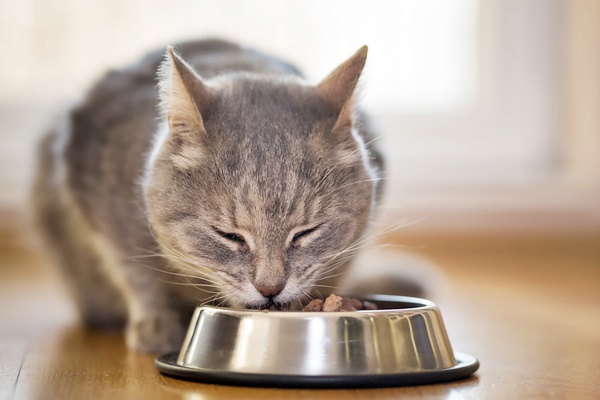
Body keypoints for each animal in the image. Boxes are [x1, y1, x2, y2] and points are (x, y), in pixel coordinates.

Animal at [31, 39, 384, 354]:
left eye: (305, 233)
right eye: (228, 235)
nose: (270, 289)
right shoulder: (102, 205)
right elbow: (134, 272)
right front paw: (155, 321)